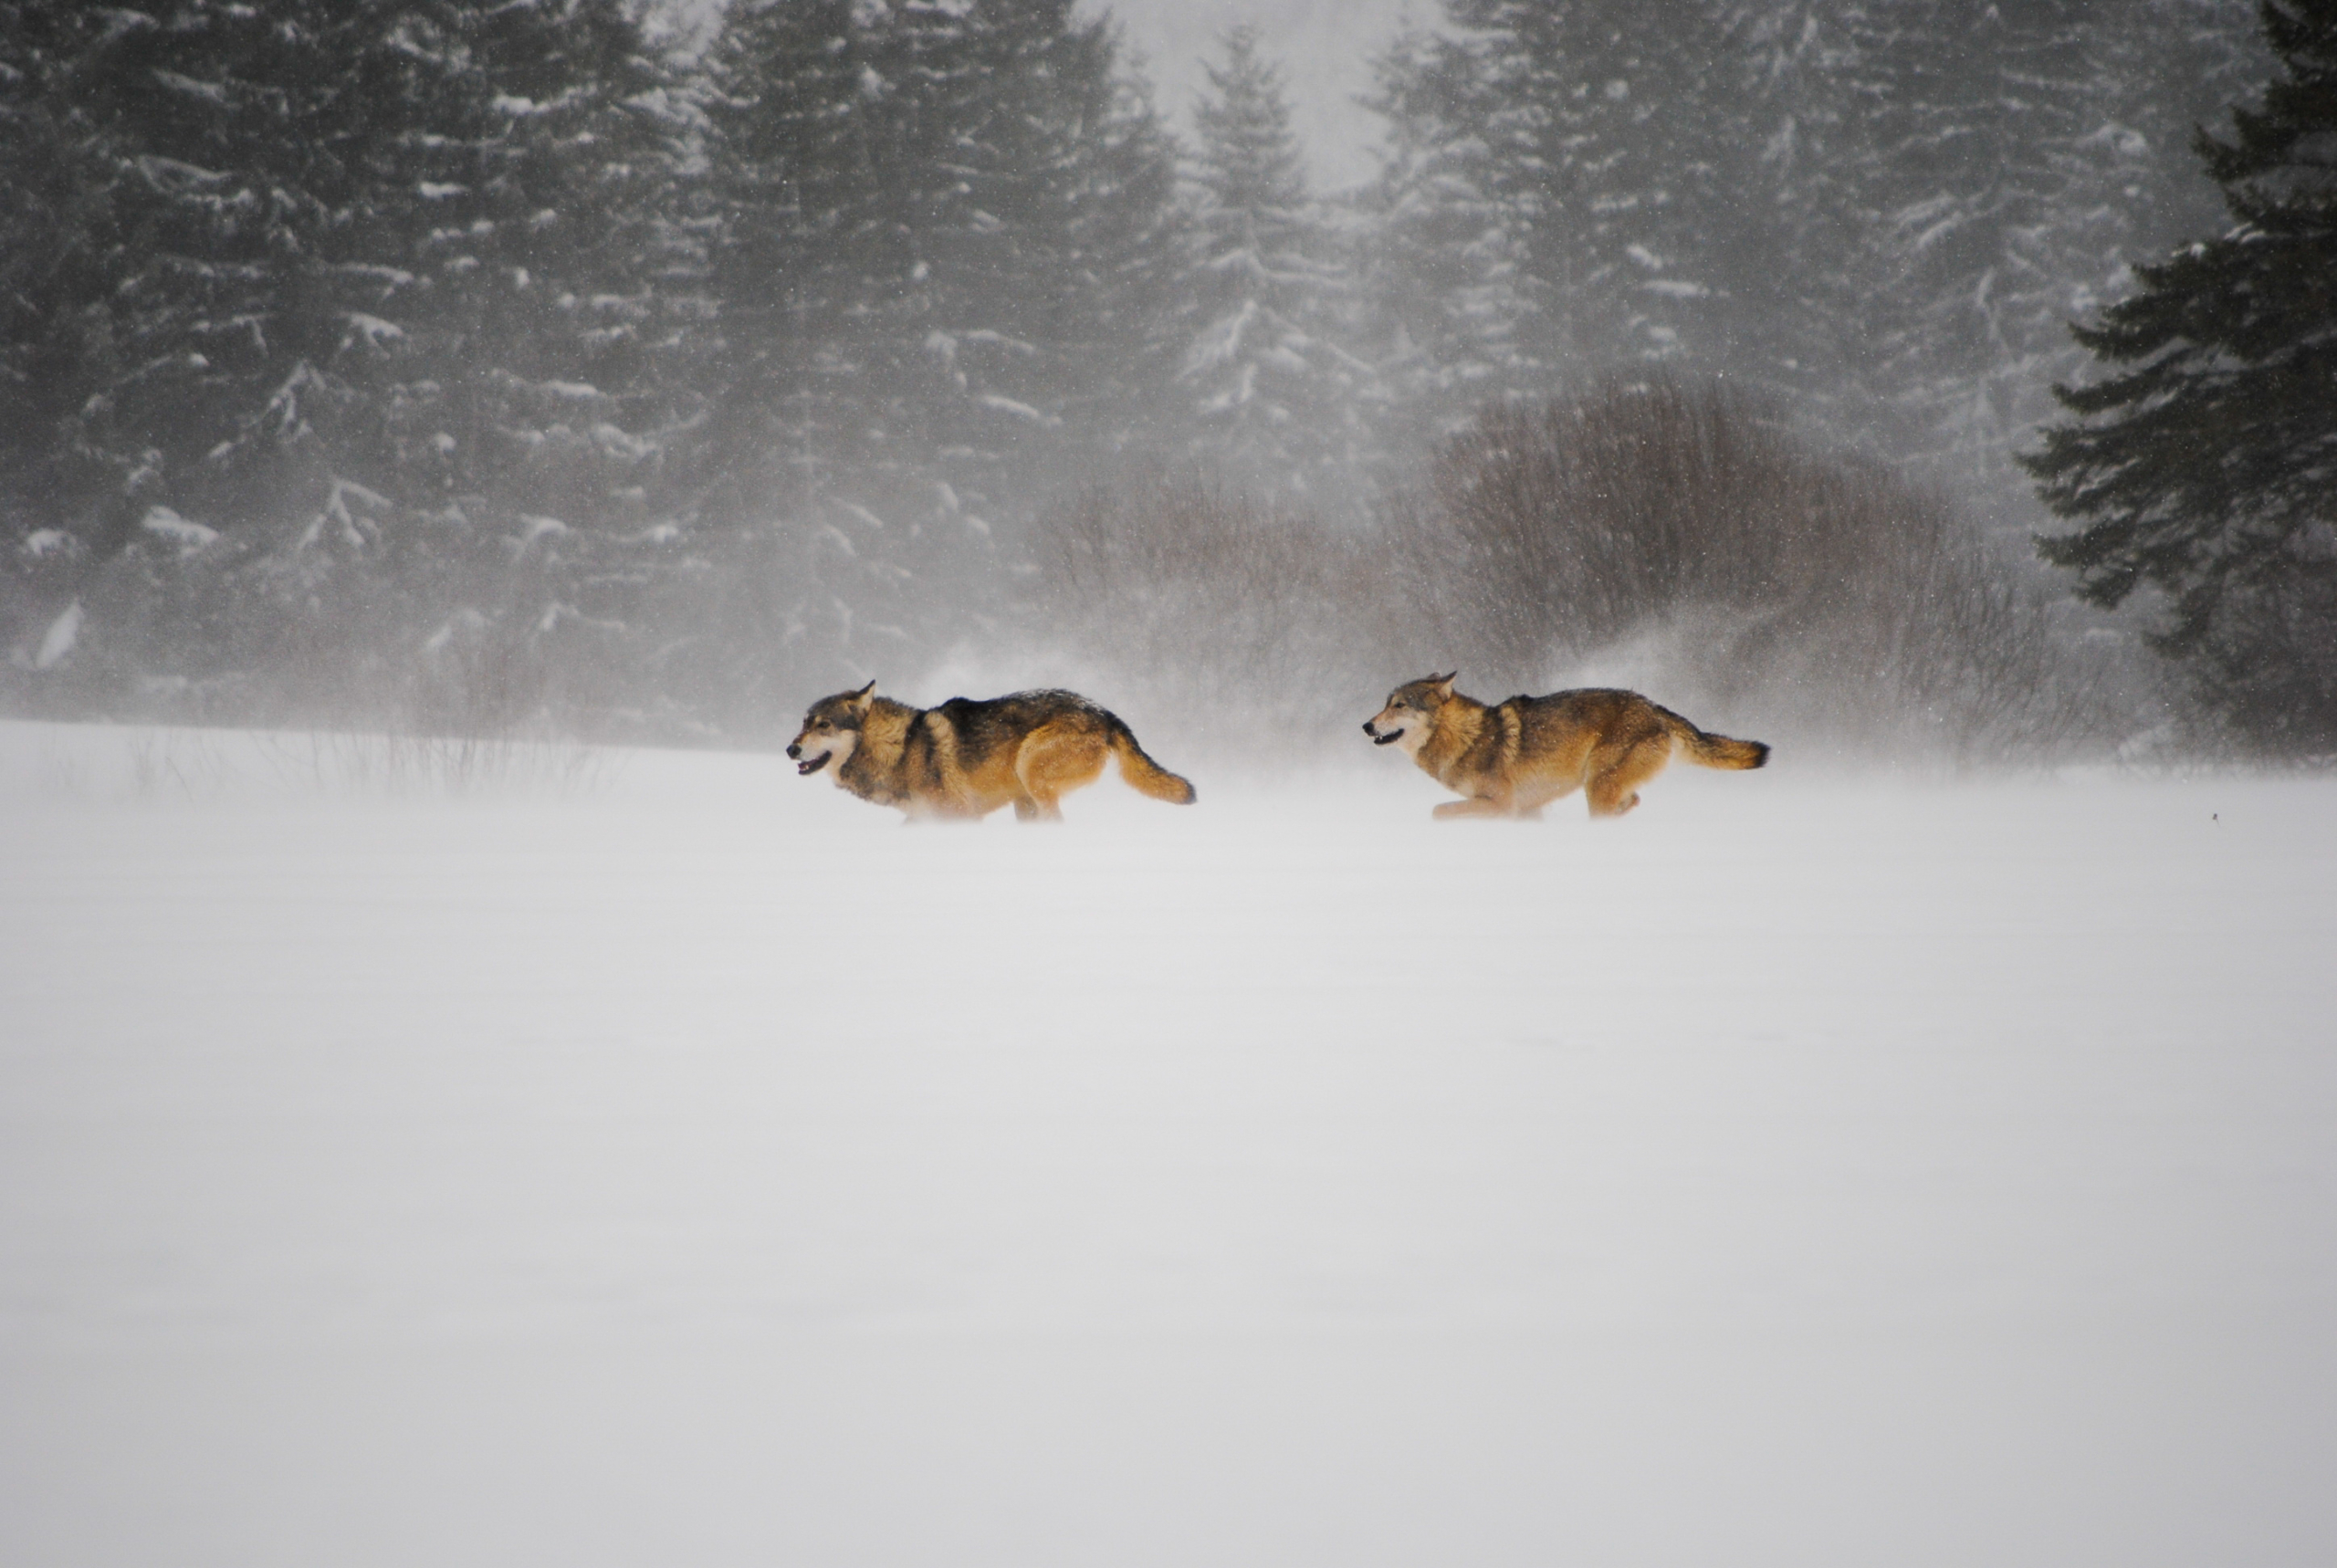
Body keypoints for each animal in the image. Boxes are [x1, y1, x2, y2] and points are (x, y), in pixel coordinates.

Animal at [785, 682, 1196, 822]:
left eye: (824, 725)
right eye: (804, 722)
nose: (790, 749)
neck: (900, 747)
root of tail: (1104, 712)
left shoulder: (956, 816)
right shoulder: (925, 819)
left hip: (1031, 772)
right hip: (1025, 800)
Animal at [1365, 673, 1757, 822]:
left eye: (1399, 705)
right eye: (1386, 704)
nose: (1366, 726)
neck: (1465, 737)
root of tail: (1653, 707)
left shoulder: (1502, 805)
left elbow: (1438, 811)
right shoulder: (1526, 810)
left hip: (1597, 786)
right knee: (1632, 800)